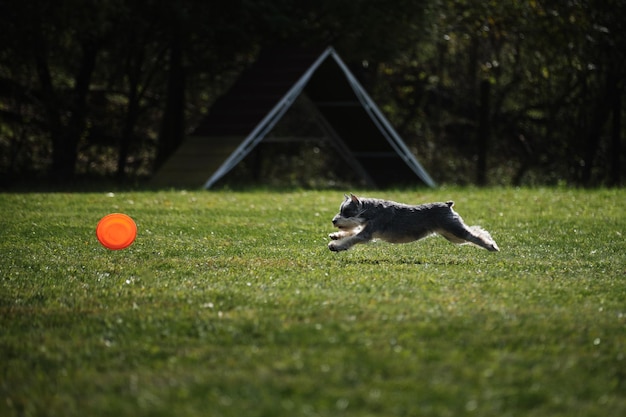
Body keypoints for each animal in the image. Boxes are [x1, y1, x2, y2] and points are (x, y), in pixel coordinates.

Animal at [326, 194, 498, 250]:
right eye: (341, 211)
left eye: (346, 212)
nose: (334, 220)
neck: (370, 211)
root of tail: (447, 205)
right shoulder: (366, 228)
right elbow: (351, 232)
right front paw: (335, 236)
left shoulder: (367, 233)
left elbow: (353, 238)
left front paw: (336, 246)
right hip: (453, 236)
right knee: (475, 232)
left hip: (455, 230)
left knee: (474, 235)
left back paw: (491, 246)